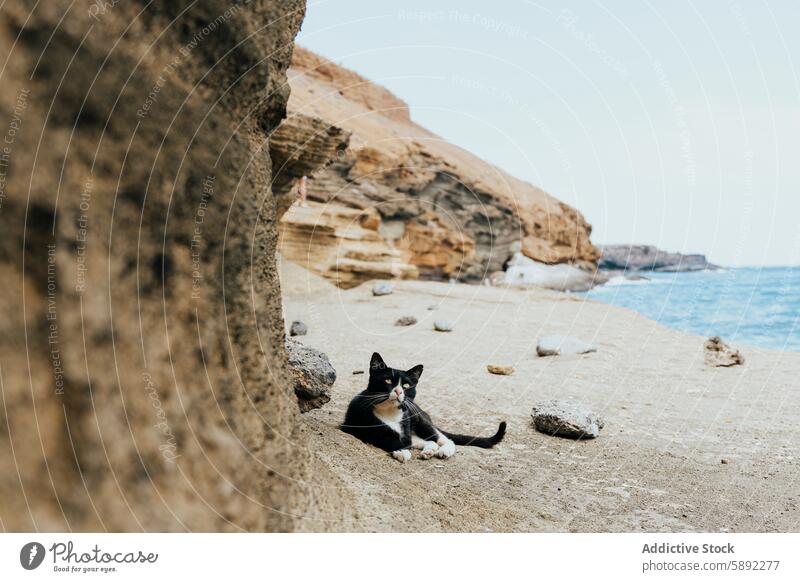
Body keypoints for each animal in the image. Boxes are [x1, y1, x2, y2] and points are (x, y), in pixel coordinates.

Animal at [342, 354, 506, 464]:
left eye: (406, 385)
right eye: (387, 380)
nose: (398, 391)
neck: (390, 413)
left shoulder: (406, 426)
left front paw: (404, 450)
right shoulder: (358, 426)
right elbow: (385, 438)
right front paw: (402, 451)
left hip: (419, 419)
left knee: (442, 438)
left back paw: (444, 450)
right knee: (428, 441)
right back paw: (428, 451)